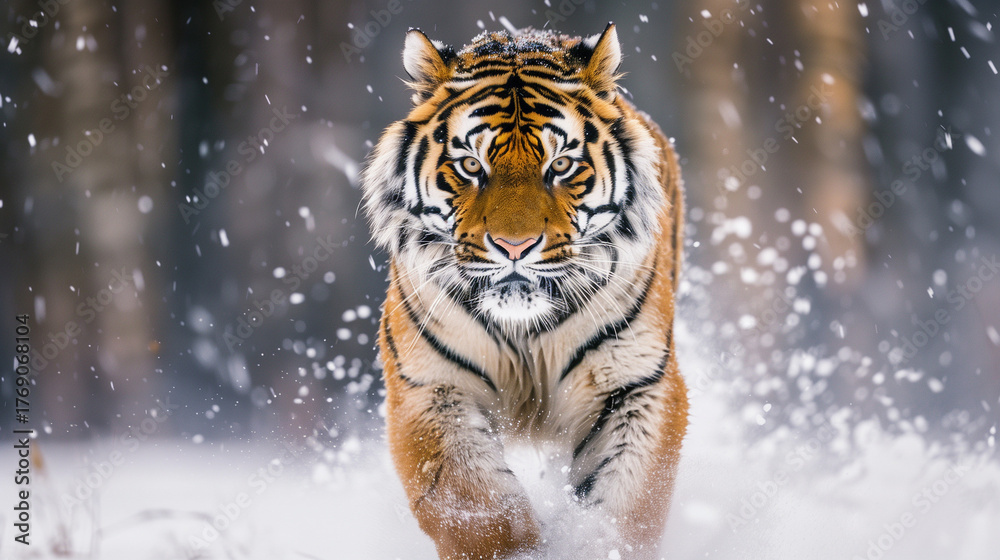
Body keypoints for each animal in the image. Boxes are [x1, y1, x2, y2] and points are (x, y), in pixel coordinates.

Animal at [361, 23, 688, 559]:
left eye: (561, 166)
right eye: (471, 166)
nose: (515, 246)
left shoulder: (636, 385)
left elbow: (621, 511)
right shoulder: (430, 387)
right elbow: (478, 509)